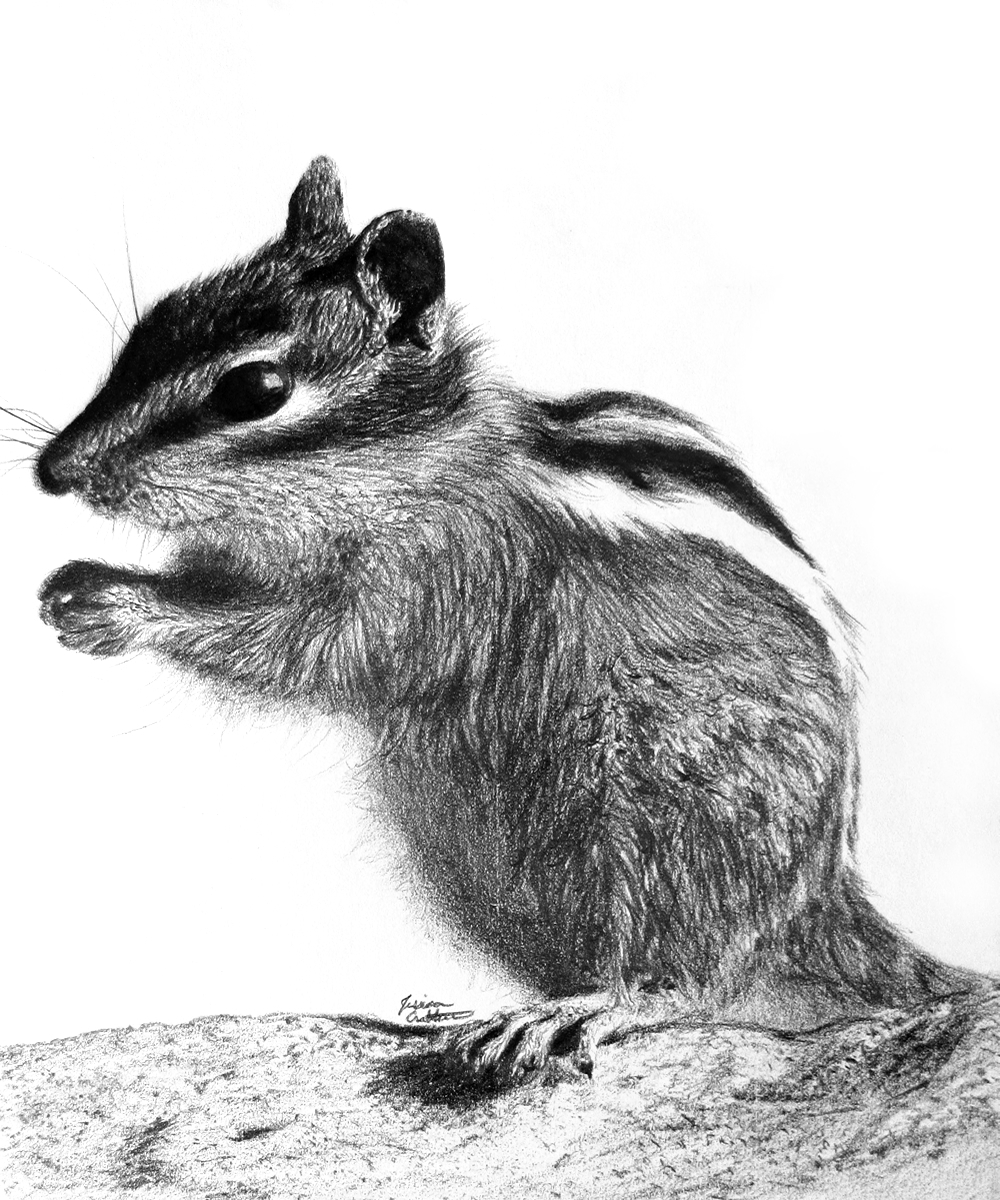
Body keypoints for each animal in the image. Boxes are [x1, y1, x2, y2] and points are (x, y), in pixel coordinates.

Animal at [35, 157, 978, 1081]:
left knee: (692, 978)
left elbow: (303, 649)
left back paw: (580, 1010)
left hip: (668, 816)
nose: (54, 471)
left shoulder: (426, 587)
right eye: (157, 318)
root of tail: (822, 895)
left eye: (256, 388)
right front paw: (68, 590)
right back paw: (468, 1008)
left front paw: (118, 601)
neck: (418, 461)